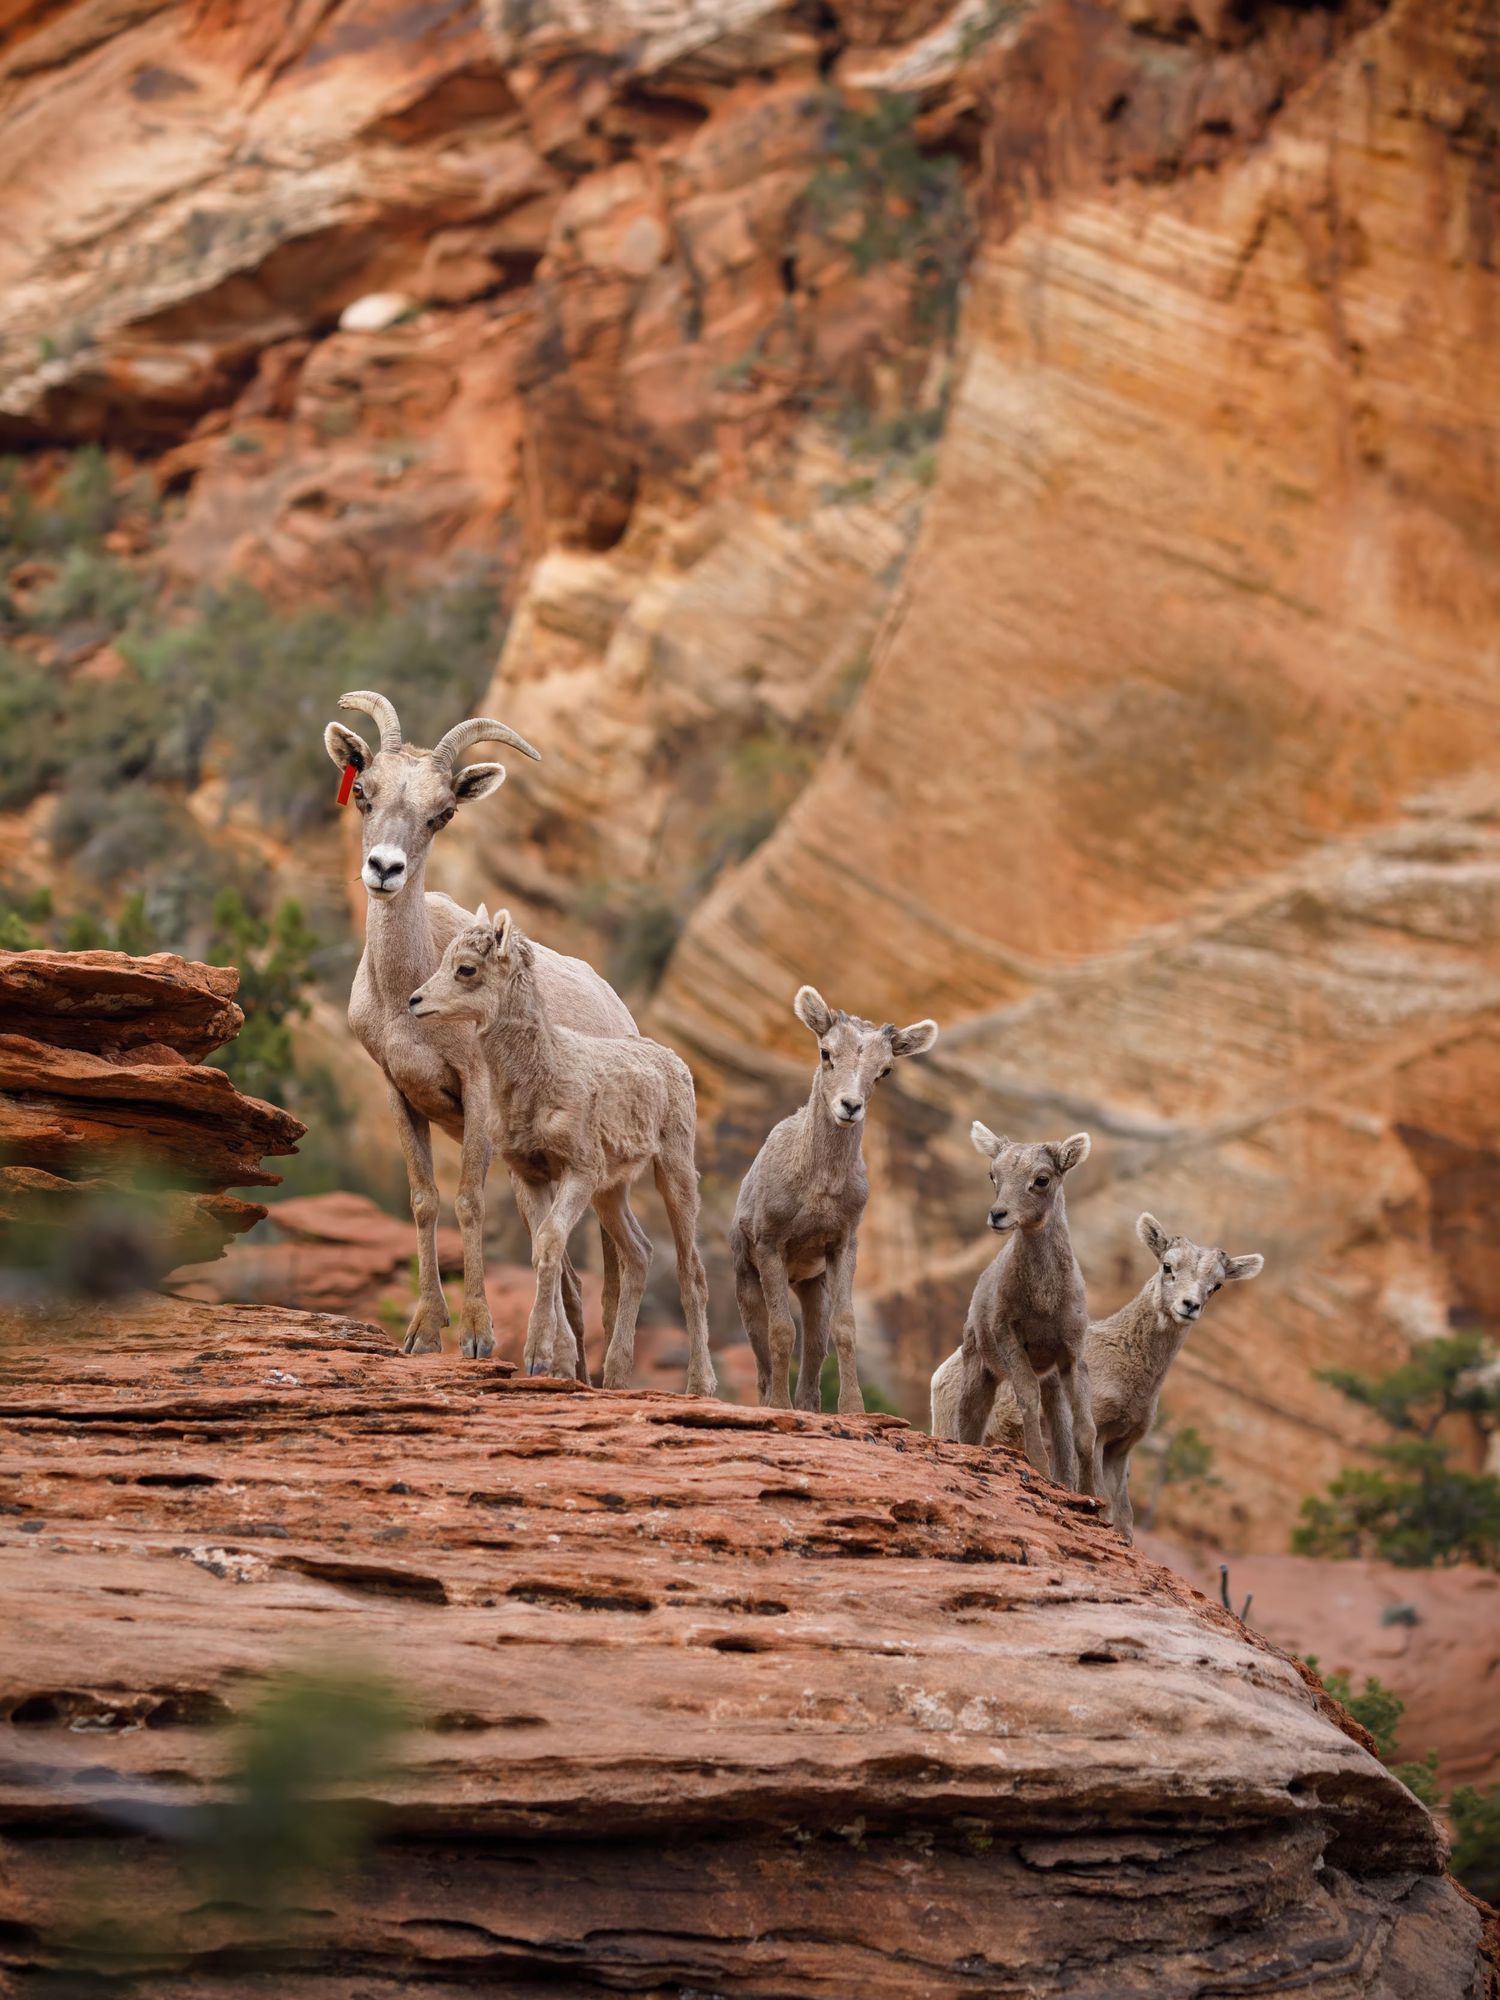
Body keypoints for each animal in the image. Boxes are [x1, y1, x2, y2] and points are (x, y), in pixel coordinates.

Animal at [408, 908, 715, 1397]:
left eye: (466, 969)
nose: (415, 1001)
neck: (541, 1075)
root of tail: (672, 1060)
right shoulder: (533, 1174)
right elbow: (541, 1248)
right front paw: (554, 1362)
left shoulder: (578, 1171)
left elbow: (551, 1240)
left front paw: (537, 1357)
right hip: (611, 1193)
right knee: (639, 1254)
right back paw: (616, 1378)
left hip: (674, 1172)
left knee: (693, 1273)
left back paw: (700, 1386)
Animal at [730, 986, 939, 1413]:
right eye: (826, 1053)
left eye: (885, 1069)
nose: (850, 1106)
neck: (818, 1188)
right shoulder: (770, 1246)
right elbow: (781, 1331)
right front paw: (780, 1407)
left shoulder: (842, 1245)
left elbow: (844, 1327)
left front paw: (854, 1410)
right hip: (747, 1278)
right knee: (761, 1353)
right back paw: (771, 1401)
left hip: (812, 1286)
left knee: (814, 1347)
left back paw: (811, 1407)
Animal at [933, 1212, 1263, 1541]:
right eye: (1167, 1266)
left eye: (1217, 1285)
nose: (1189, 1306)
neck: (1132, 1367)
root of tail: (941, 1373)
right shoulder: (1097, 1437)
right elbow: (1101, 1500)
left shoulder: (1121, 1447)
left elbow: (1125, 1517)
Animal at [936, 1124, 1100, 1500]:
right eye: (992, 1174)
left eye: (1042, 1179)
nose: (998, 1215)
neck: (1043, 1302)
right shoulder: (1009, 1340)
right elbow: (1027, 1401)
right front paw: (1040, 1469)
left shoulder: (1072, 1354)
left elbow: (1084, 1428)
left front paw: (1089, 1494)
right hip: (980, 1370)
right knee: (969, 1423)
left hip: (1051, 1379)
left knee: (1059, 1426)